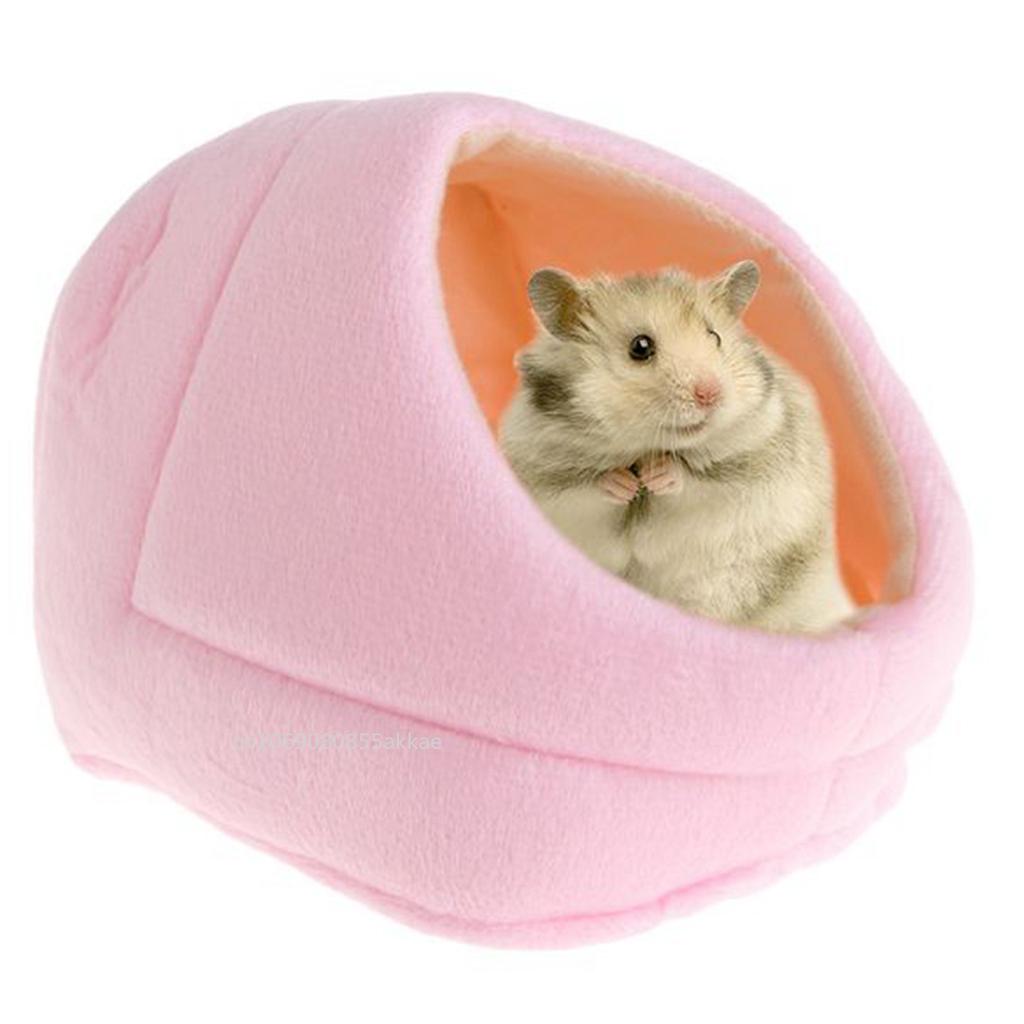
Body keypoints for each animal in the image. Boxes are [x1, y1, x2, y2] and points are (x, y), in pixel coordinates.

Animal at [499, 260, 855, 634]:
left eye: (715, 337)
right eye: (640, 347)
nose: (710, 393)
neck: (644, 447)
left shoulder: (749, 466)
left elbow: (693, 480)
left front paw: (657, 474)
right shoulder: (545, 477)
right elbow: (587, 487)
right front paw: (625, 483)